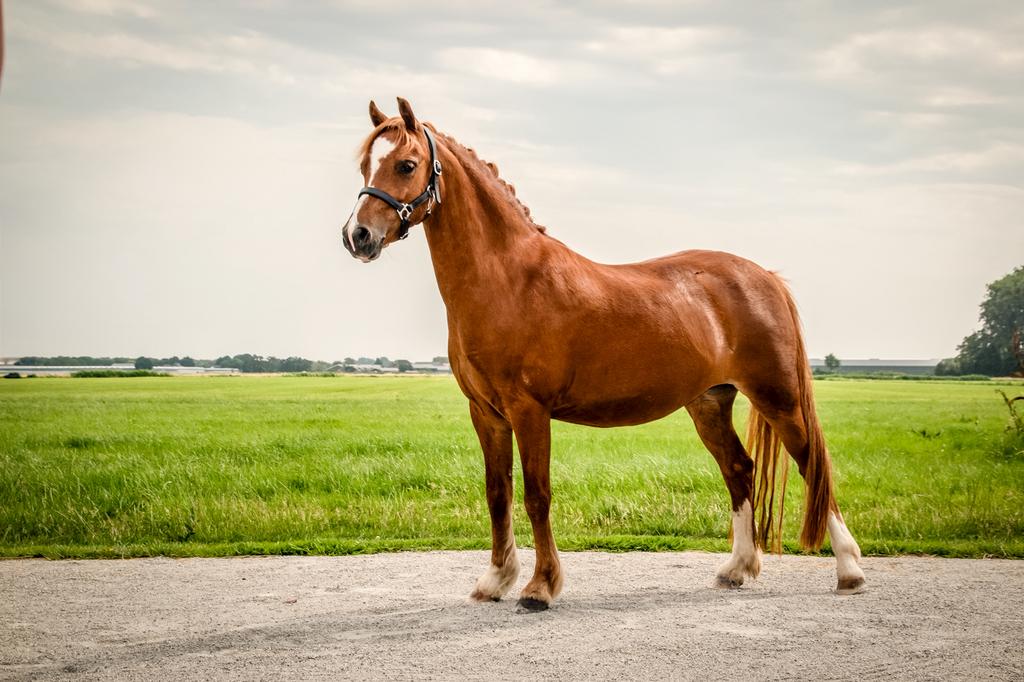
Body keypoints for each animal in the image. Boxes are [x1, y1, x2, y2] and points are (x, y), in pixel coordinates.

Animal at [340, 97, 866, 611]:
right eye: (365, 164)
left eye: (407, 164)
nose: (357, 236)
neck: (508, 278)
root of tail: (765, 277)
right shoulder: (486, 413)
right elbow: (498, 494)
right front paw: (495, 580)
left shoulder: (530, 411)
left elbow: (536, 495)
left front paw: (540, 587)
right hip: (709, 403)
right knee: (739, 470)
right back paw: (736, 569)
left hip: (778, 397)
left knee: (811, 466)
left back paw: (850, 571)